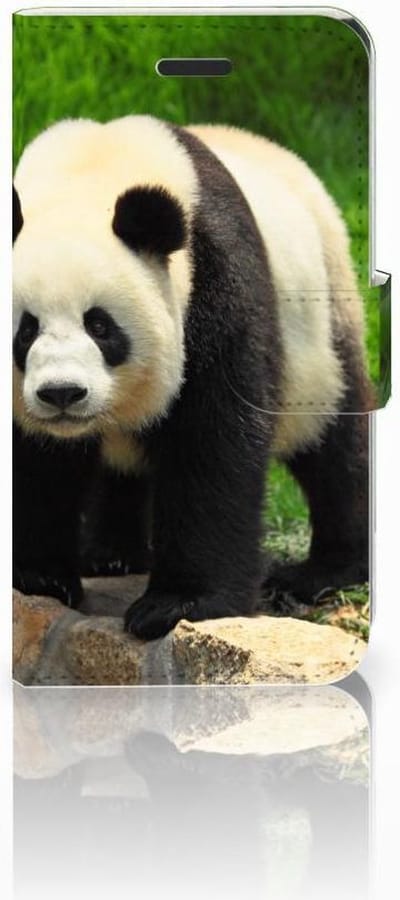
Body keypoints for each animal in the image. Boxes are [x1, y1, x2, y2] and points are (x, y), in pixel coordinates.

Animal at [12, 115, 372, 641]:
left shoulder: (215, 277)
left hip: (322, 325)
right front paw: (39, 577)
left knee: (335, 447)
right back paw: (112, 555)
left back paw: (325, 571)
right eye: (26, 330)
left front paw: (178, 604)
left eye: (100, 326)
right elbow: (38, 462)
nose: (62, 394)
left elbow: (213, 441)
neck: (89, 173)